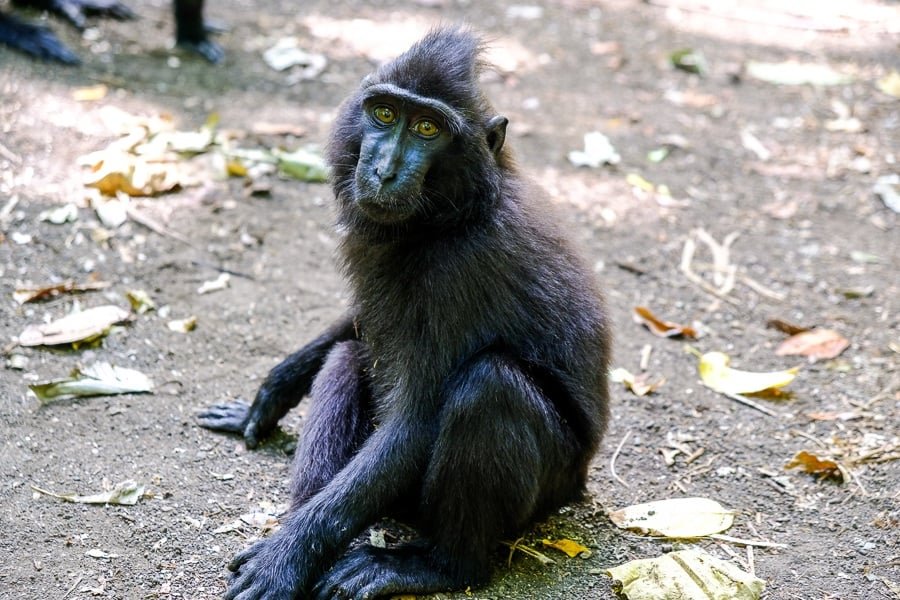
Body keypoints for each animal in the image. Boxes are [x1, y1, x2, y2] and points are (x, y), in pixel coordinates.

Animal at [193, 24, 608, 600]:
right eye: (385, 114)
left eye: (429, 128)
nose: (383, 171)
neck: (448, 217)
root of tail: (580, 483)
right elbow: (357, 325)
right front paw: (268, 396)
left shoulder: (465, 271)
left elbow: (414, 422)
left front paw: (284, 560)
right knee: (347, 358)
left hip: (547, 488)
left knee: (489, 386)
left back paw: (434, 566)